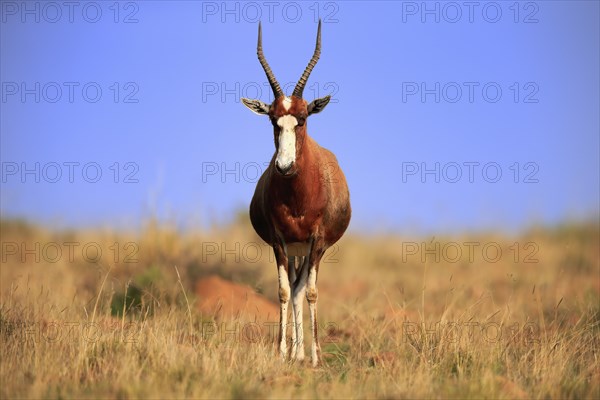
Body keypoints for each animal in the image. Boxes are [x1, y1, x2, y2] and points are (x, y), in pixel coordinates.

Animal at [240, 20, 352, 368]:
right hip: (294, 250)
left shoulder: (317, 240)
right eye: (273, 120)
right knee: (294, 285)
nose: (284, 166)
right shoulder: (279, 241)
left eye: (302, 119)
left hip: (312, 249)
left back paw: (304, 353)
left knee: (303, 287)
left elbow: (311, 291)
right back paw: (294, 352)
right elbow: (283, 291)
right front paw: (281, 352)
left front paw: (315, 357)